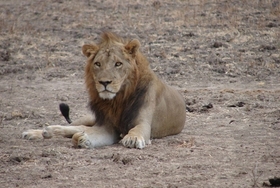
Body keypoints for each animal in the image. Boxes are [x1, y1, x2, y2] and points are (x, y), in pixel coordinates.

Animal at [22, 32, 186, 150]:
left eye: (118, 64)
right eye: (98, 64)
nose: (104, 82)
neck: (119, 99)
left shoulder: (144, 123)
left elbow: (138, 130)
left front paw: (132, 138)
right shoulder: (107, 127)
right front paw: (83, 139)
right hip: (89, 118)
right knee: (76, 126)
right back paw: (38, 132)